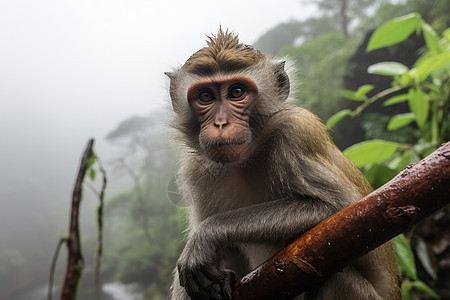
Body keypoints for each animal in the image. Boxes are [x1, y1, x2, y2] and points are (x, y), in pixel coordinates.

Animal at [166, 28, 400, 300]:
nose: (221, 124)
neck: (246, 158)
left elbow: (343, 211)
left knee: (335, 278)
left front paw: (206, 235)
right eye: (205, 96)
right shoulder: (195, 169)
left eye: (237, 92)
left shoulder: (296, 132)